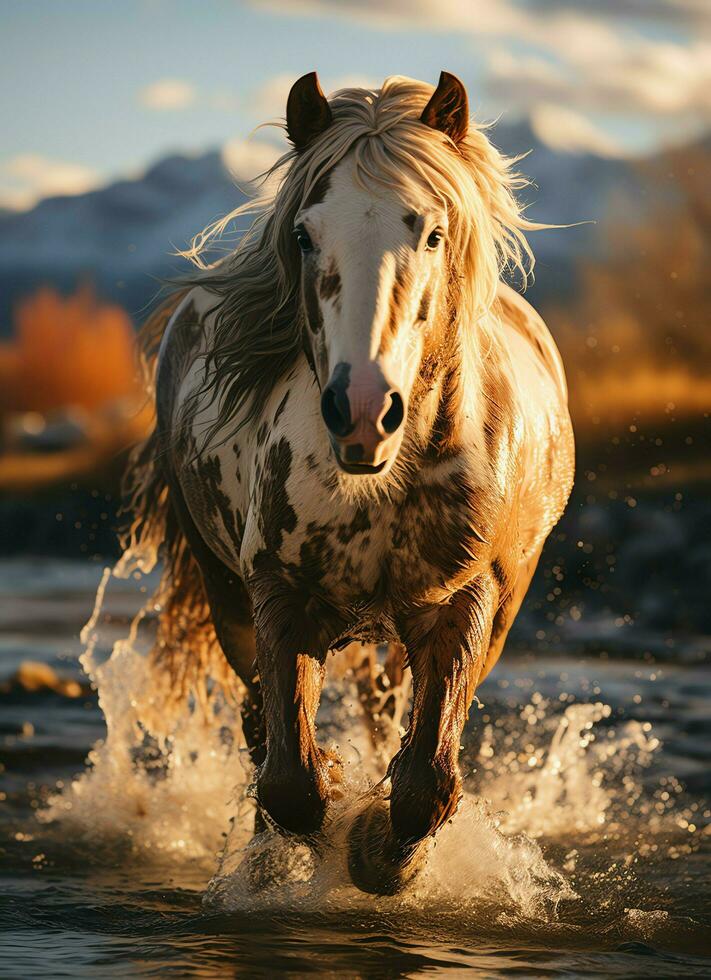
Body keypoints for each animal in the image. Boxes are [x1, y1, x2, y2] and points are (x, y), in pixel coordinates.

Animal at [125, 69, 576, 896]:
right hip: (226, 594)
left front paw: (382, 853)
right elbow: (290, 779)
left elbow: (426, 780)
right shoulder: (278, 595)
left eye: (431, 233)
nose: (362, 410)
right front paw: (313, 838)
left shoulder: (463, 604)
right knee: (259, 731)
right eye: (305, 236)